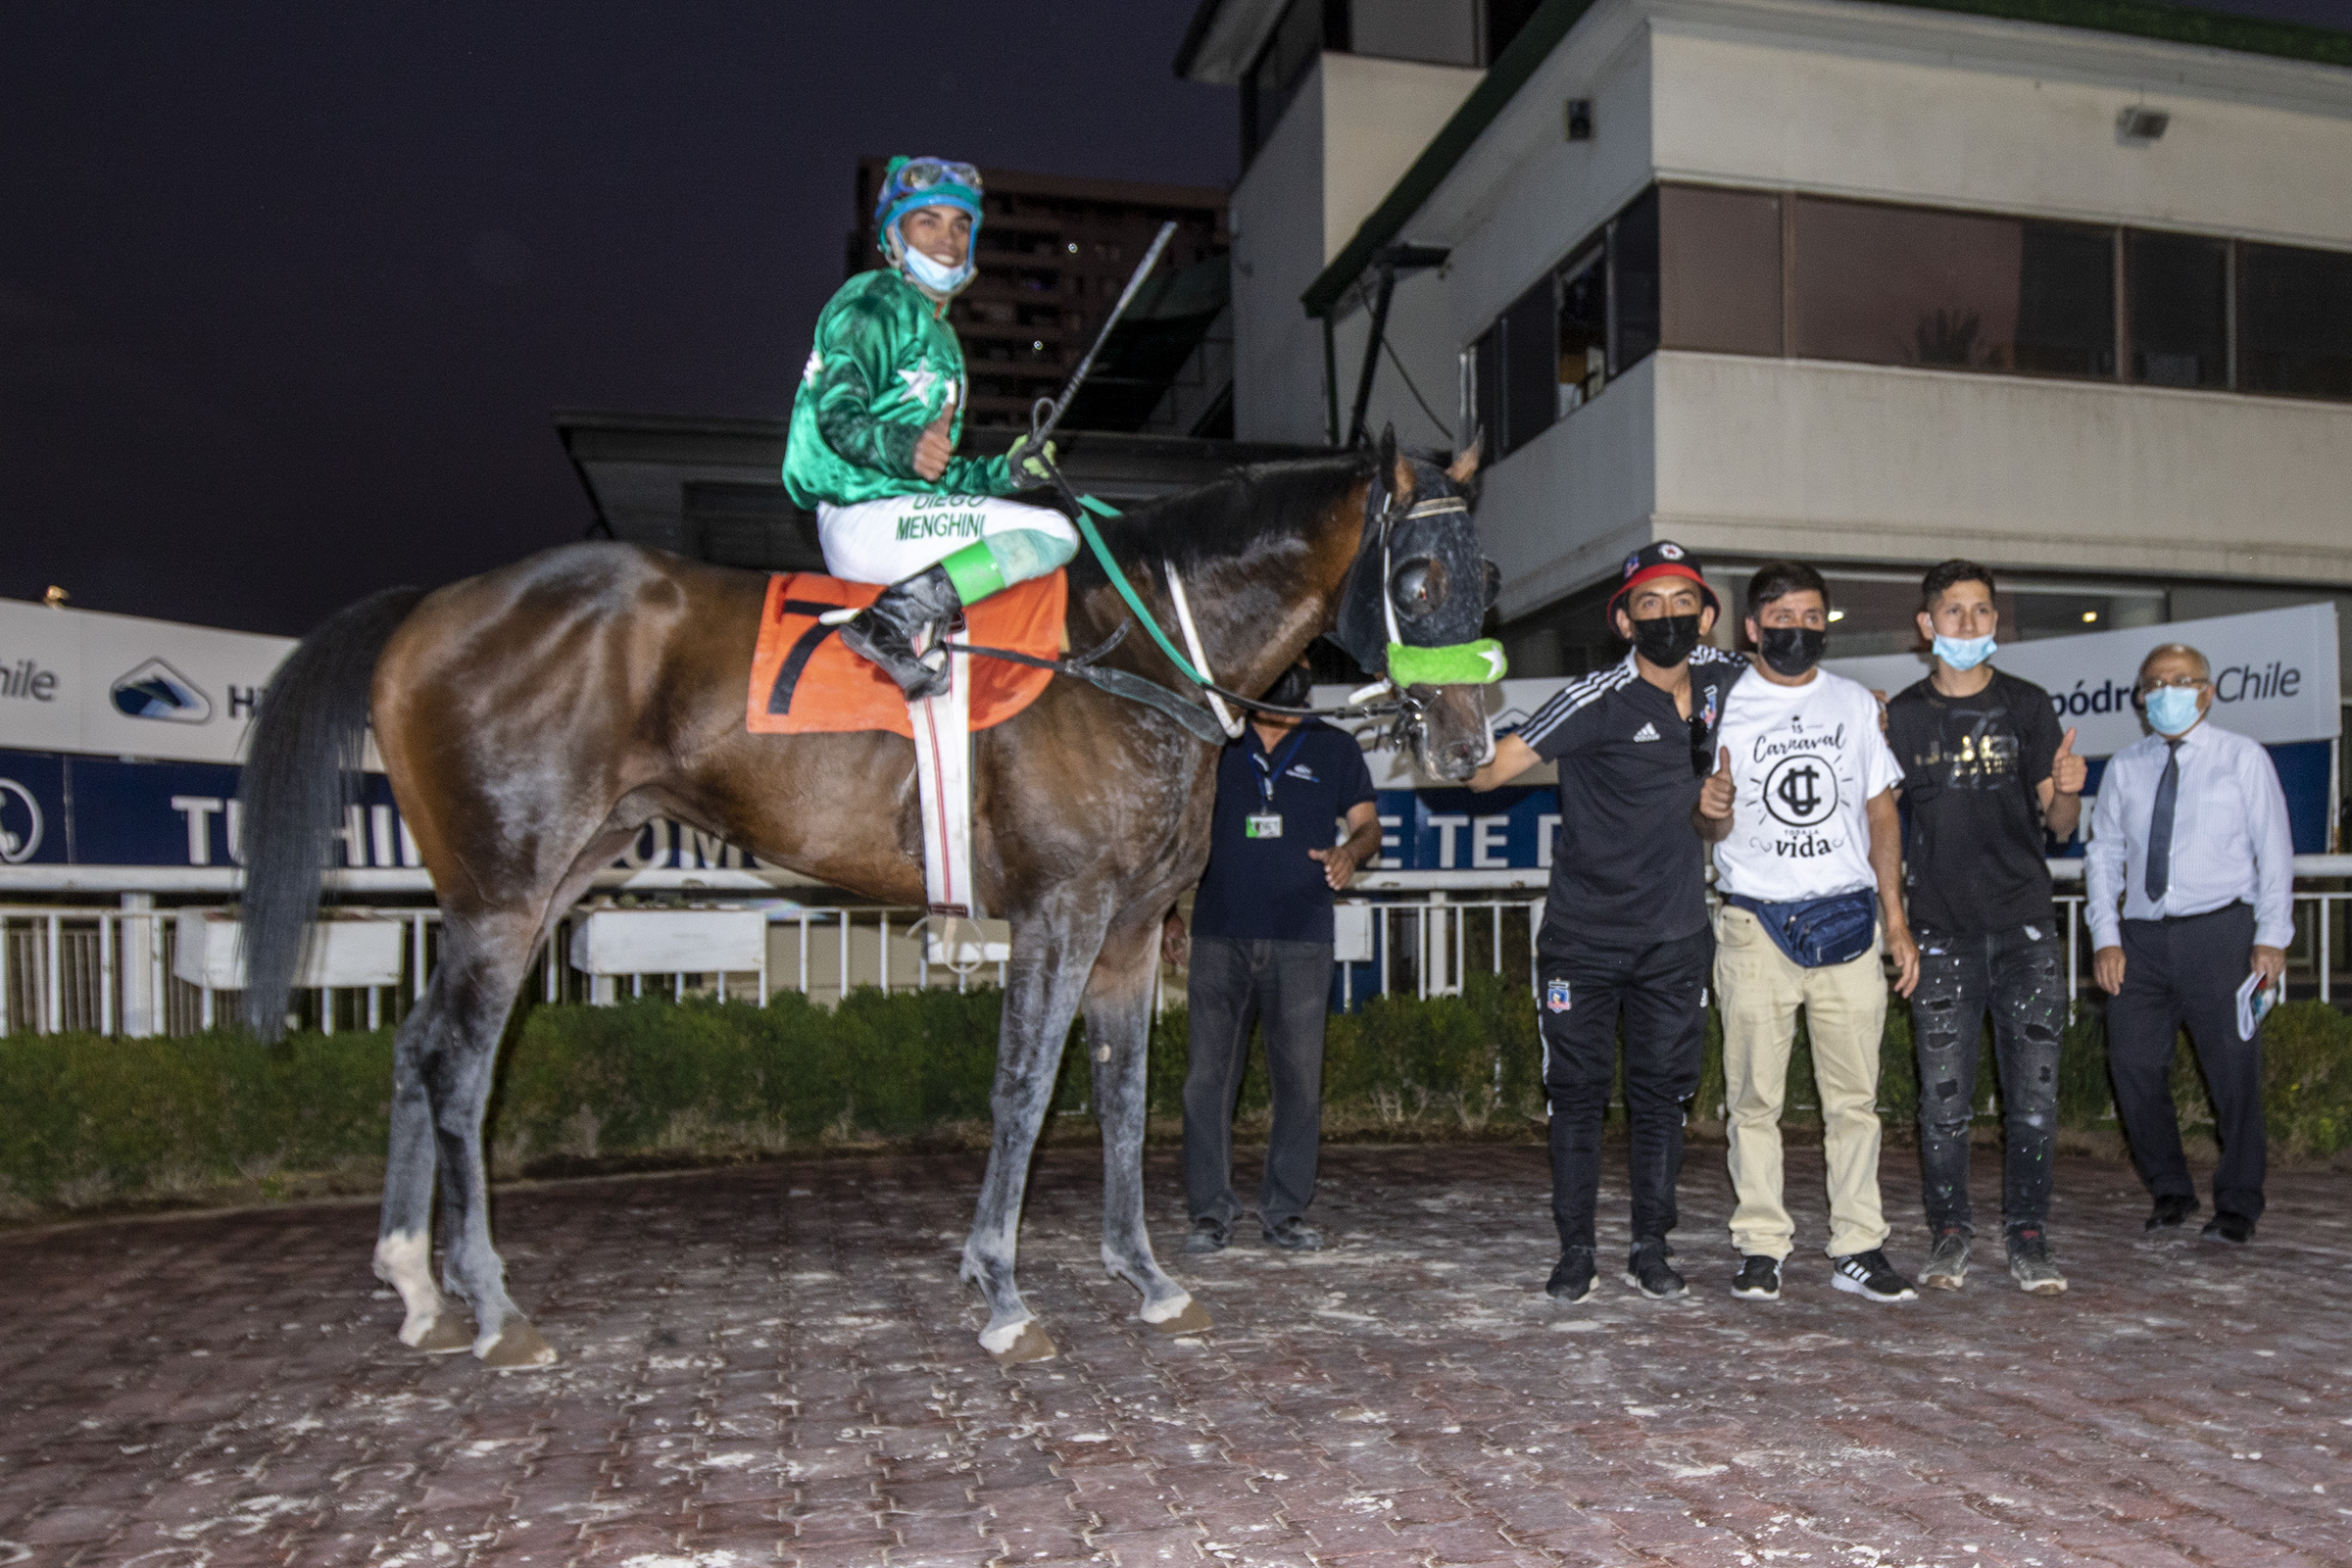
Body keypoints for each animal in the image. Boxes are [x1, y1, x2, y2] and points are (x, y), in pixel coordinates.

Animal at [236, 435, 1494, 1368]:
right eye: (1416, 580)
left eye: (1482, 583)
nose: (1471, 744)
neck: (1131, 651)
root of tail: (432, 605)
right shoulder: (1060, 909)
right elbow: (1025, 1088)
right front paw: (1001, 1290)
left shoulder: (1134, 927)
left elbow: (1128, 1096)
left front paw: (1146, 1276)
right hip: (505, 892)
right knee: (458, 1063)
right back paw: (493, 1307)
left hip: (522, 888)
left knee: (413, 1044)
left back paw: (416, 1283)